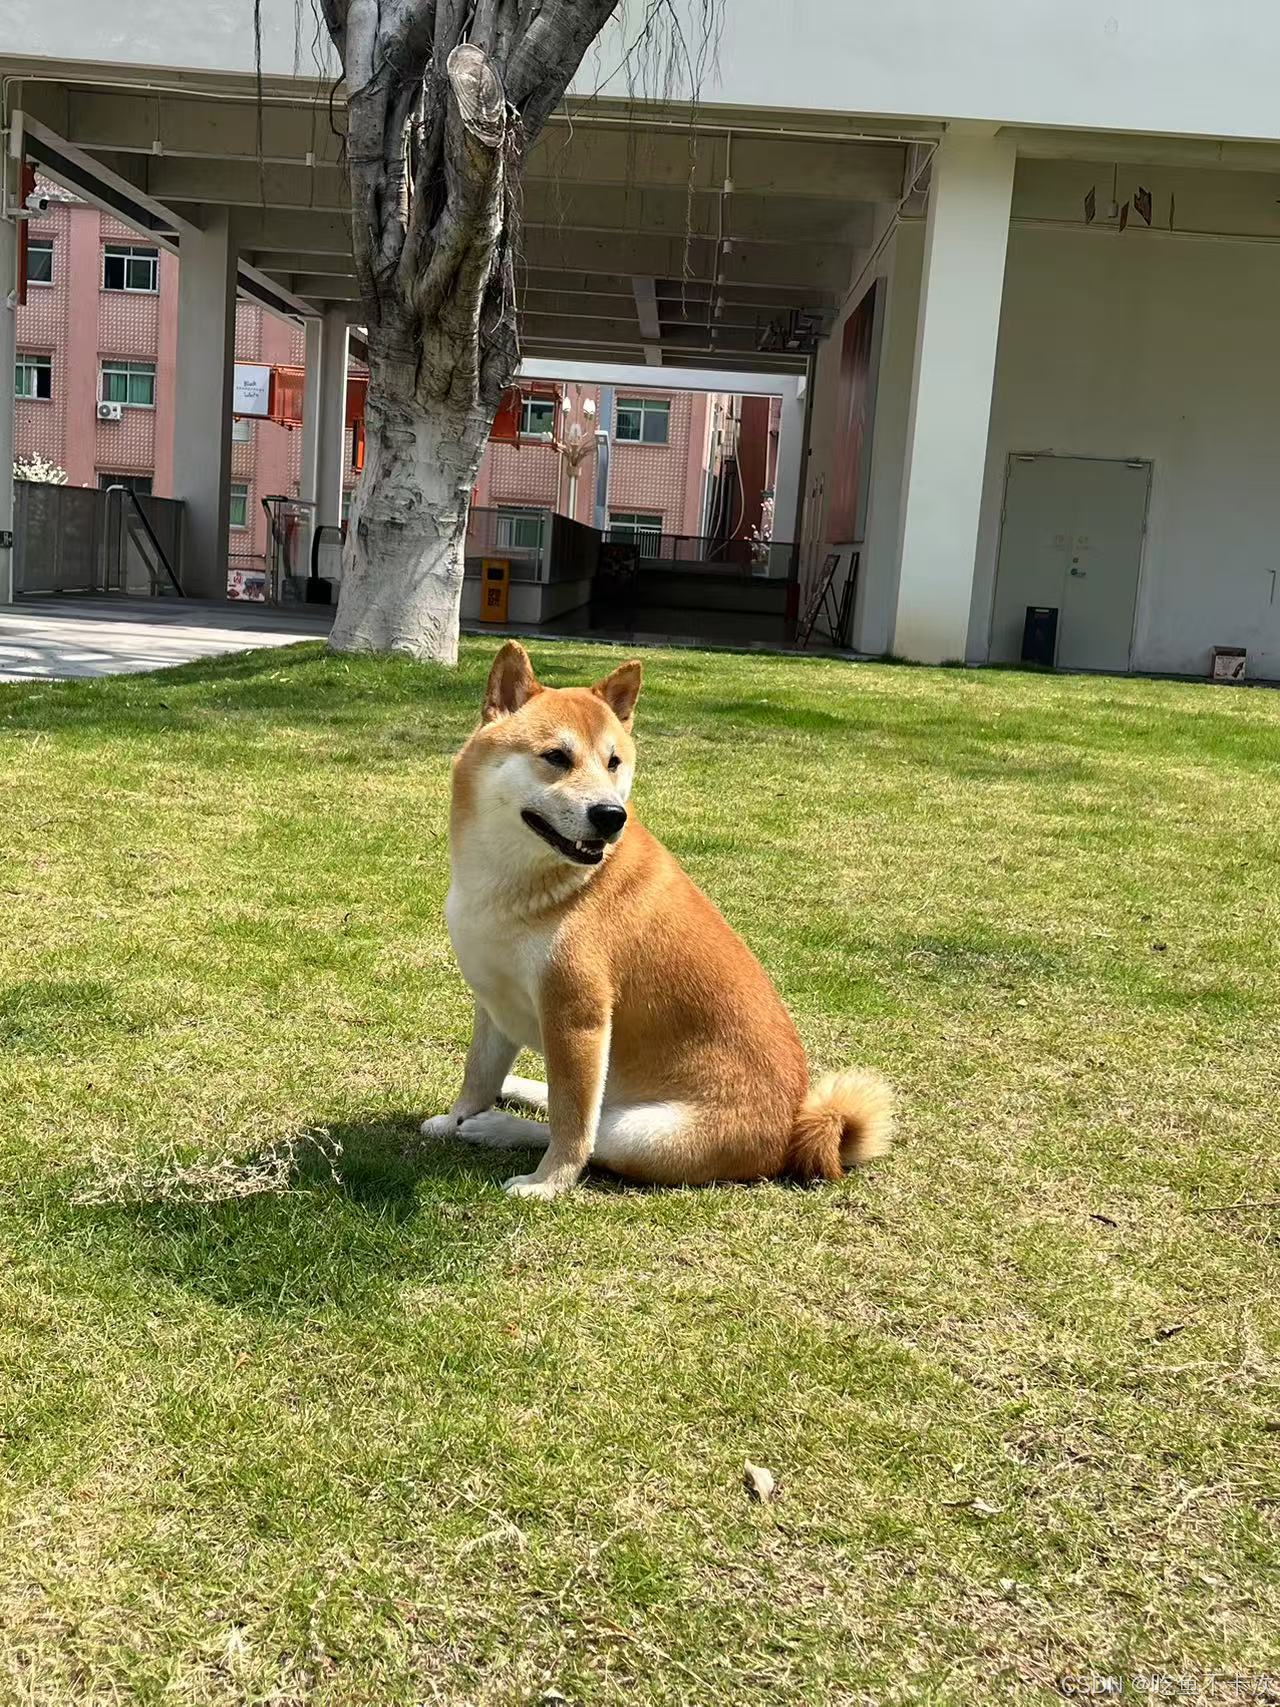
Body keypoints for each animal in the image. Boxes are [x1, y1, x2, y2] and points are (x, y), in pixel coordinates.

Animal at [421, 641, 893, 1199]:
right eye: (557, 757)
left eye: (613, 762)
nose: (611, 815)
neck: (516, 883)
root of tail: (794, 1133)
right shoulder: (492, 1000)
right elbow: (478, 1076)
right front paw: (455, 1118)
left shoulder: (577, 1018)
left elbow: (572, 1127)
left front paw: (548, 1183)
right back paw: (516, 1094)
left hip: (642, 1129)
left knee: (591, 1131)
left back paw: (501, 1127)